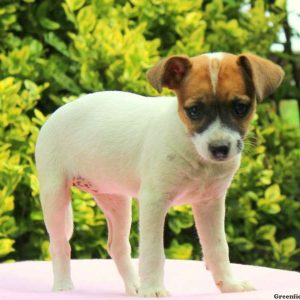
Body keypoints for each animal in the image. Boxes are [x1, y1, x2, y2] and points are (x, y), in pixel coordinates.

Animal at [35, 51, 284, 296]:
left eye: (240, 107)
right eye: (194, 110)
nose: (220, 149)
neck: (192, 148)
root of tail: (58, 112)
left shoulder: (210, 203)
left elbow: (218, 247)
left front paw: (230, 284)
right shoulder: (154, 202)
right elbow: (153, 252)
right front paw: (153, 289)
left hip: (115, 200)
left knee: (117, 245)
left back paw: (134, 286)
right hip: (54, 196)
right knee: (59, 244)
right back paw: (63, 286)